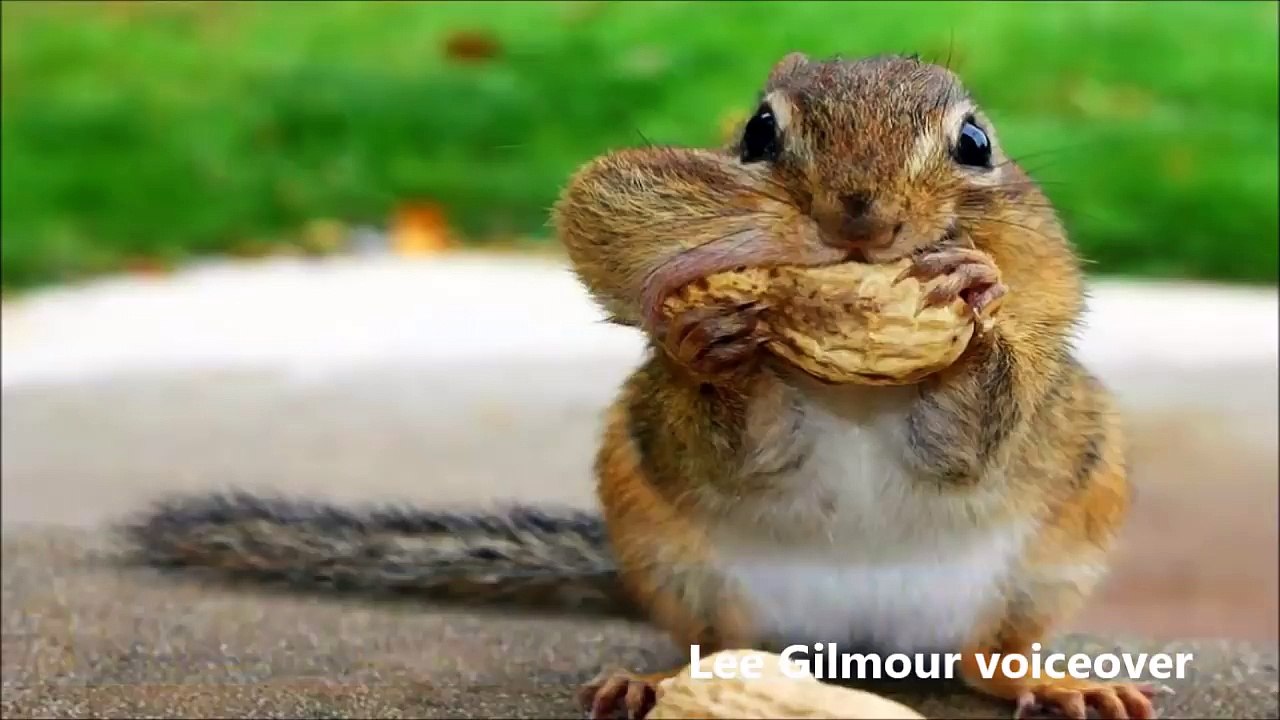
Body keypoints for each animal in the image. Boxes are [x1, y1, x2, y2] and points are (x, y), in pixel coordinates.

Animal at [121, 53, 1158, 720]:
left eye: (975, 141)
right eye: (758, 132)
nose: (857, 219)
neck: (853, 391)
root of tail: (854, 645)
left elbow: (973, 434)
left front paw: (971, 299)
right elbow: (742, 440)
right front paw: (717, 343)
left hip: (1050, 558)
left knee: (986, 660)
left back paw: (1055, 682)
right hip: (676, 564)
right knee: (710, 647)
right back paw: (650, 685)